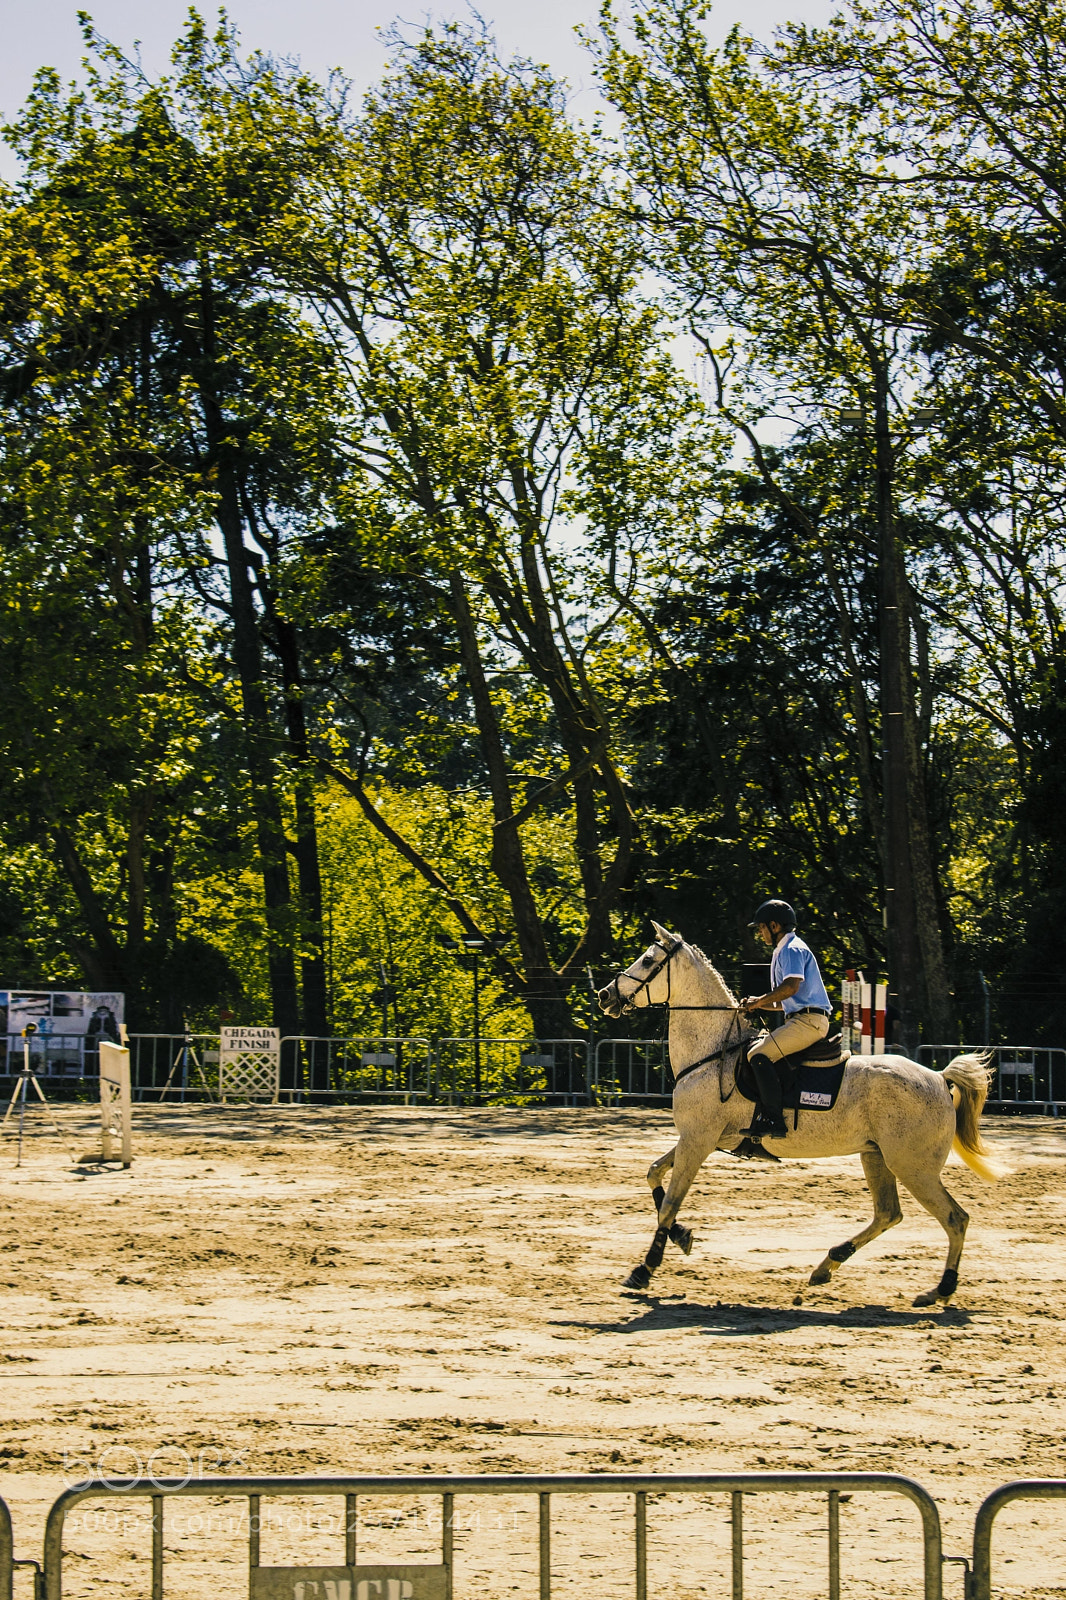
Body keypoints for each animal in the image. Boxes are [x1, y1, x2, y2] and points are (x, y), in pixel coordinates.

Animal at [598, 922, 1003, 1307]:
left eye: (648, 960)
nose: (605, 995)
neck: (713, 1052)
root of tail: (938, 1078)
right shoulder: (699, 1140)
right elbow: (654, 1174)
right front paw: (682, 1237)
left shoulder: (698, 1141)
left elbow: (668, 1205)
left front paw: (645, 1268)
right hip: (876, 1156)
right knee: (889, 1213)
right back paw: (828, 1265)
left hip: (913, 1166)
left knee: (954, 1218)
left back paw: (939, 1290)